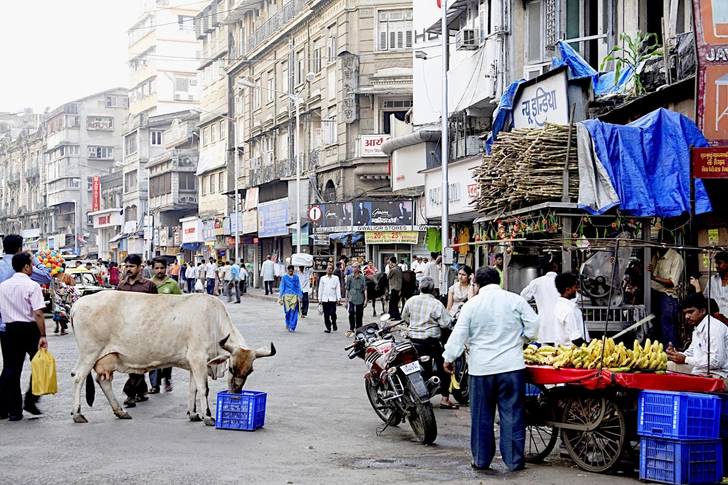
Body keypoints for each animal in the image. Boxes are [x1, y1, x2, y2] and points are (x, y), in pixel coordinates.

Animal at [69, 292, 274, 424]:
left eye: (250, 371)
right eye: (231, 368)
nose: (236, 392)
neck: (213, 321)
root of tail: (76, 304)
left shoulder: (194, 364)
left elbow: (193, 389)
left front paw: (193, 414)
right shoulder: (198, 359)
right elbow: (204, 389)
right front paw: (208, 416)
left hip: (106, 358)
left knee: (103, 382)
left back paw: (120, 411)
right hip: (89, 353)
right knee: (78, 377)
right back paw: (78, 414)